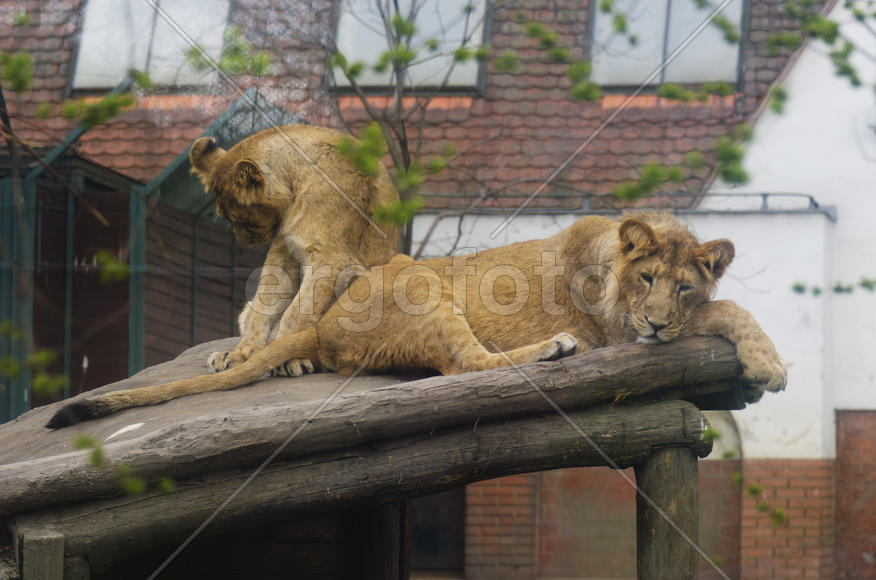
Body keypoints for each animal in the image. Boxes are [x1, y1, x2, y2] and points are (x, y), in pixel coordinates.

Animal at [46, 213, 787, 427]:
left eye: (680, 286)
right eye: (647, 280)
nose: (659, 325)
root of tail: (327, 321)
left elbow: (721, 304)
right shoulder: (619, 330)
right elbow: (731, 305)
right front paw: (771, 364)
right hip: (430, 291)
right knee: (465, 364)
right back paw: (553, 347)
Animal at [187, 124, 400, 377]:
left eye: (239, 220)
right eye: (227, 218)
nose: (245, 243)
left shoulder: (330, 259)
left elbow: (297, 311)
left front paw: (286, 358)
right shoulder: (284, 251)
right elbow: (263, 307)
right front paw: (241, 356)